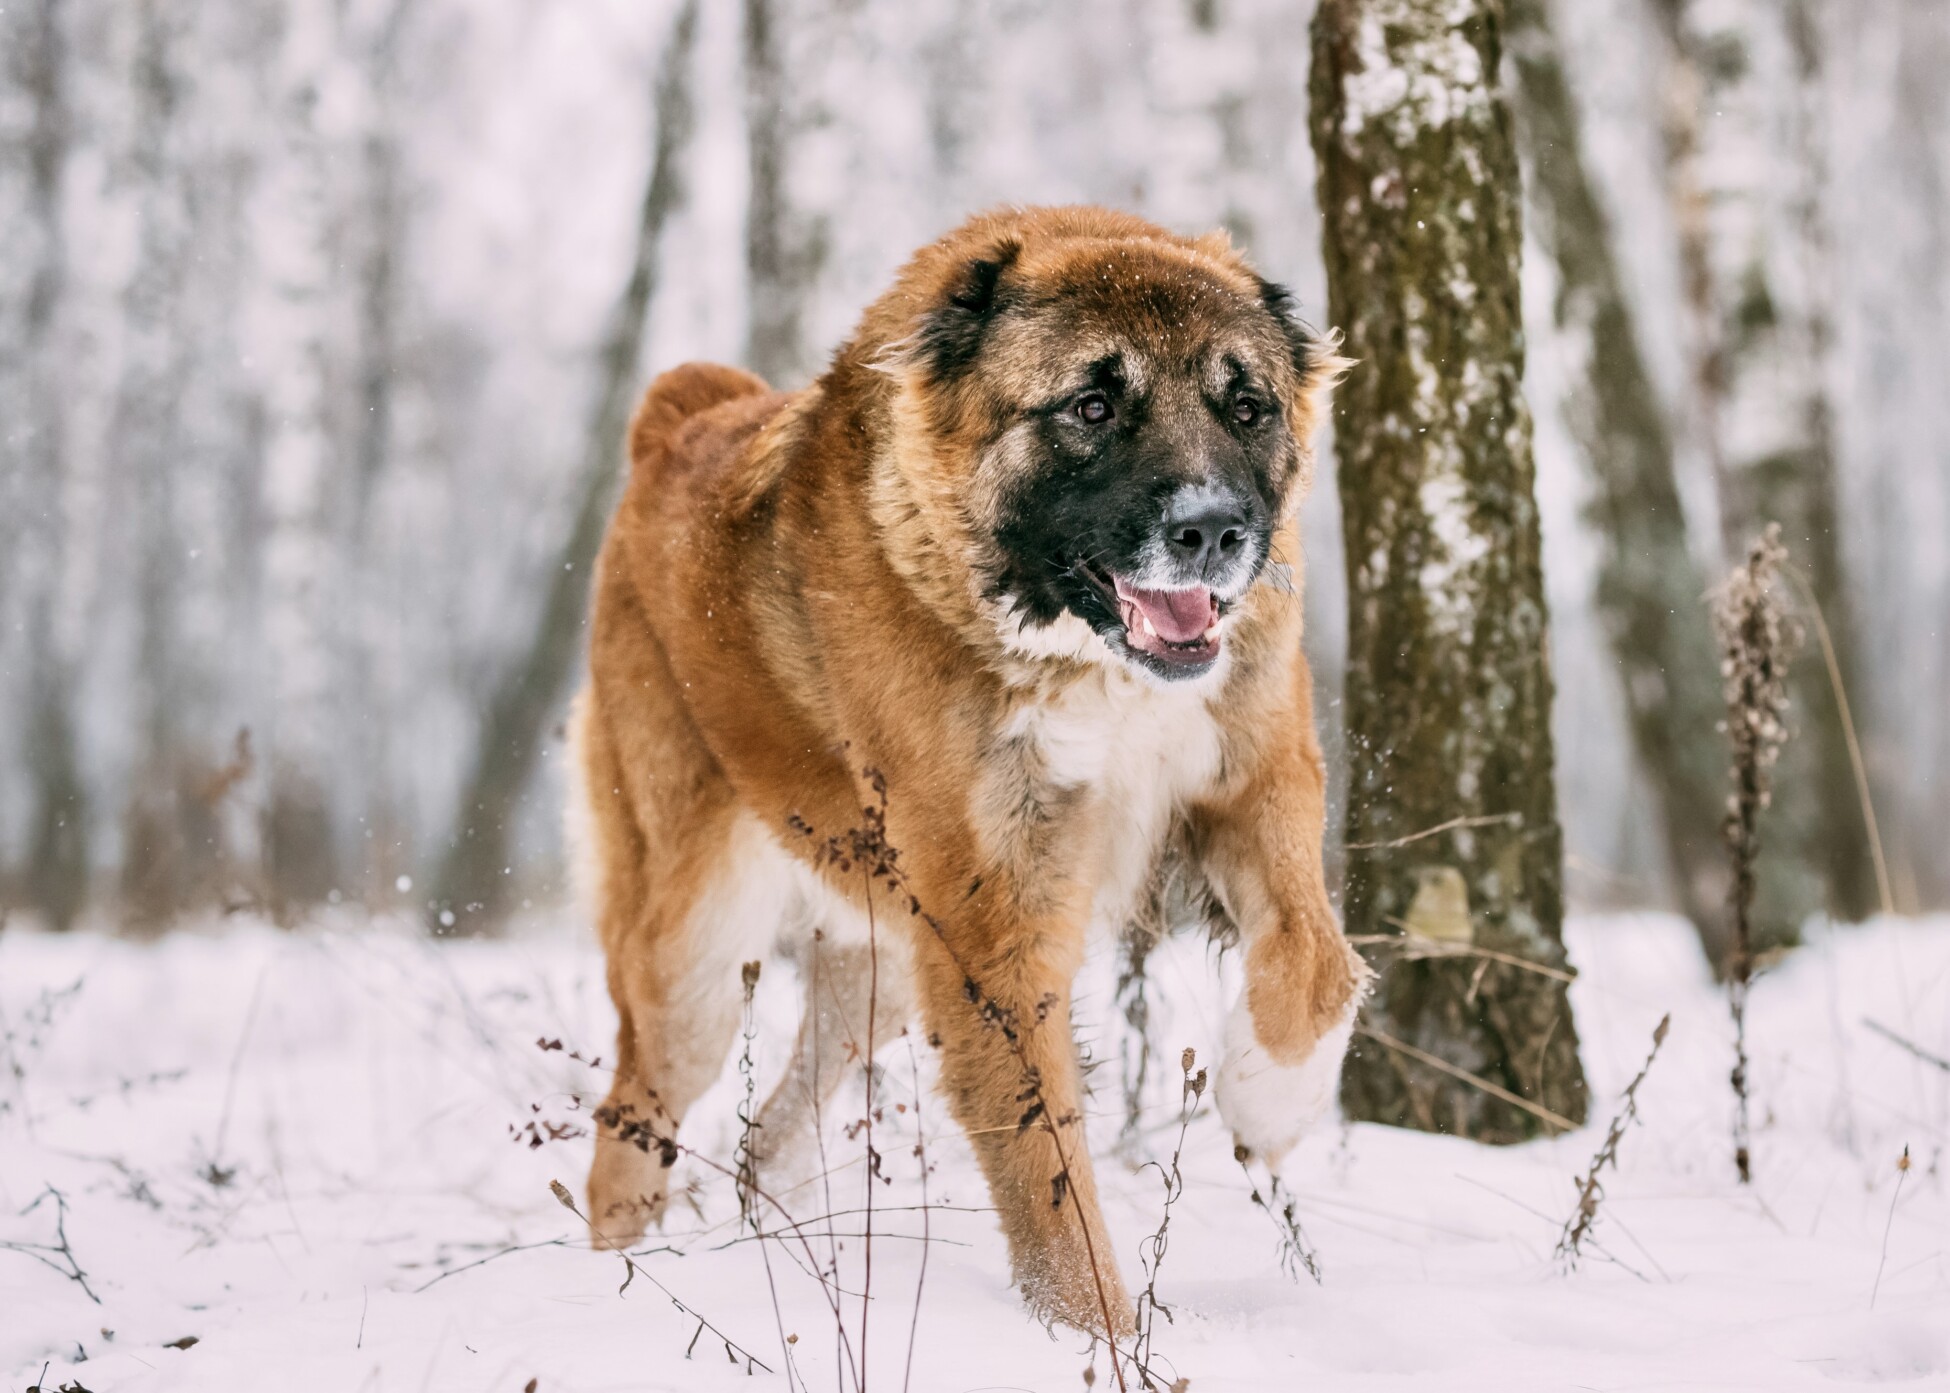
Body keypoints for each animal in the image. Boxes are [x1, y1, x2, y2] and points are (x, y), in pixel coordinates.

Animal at [569, 203, 1365, 1326]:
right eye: (1090, 406)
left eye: (1245, 405)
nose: (1213, 529)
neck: (1081, 655)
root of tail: (677, 421)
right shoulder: (994, 929)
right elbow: (1049, 1174)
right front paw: (1097, 1338)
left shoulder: (1258, 785)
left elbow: (1319, 963)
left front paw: (1267, 1106)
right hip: (696, 955)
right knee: (627, 1130)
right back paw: (623, 1288)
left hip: (887, 961)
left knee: (768, 1140)